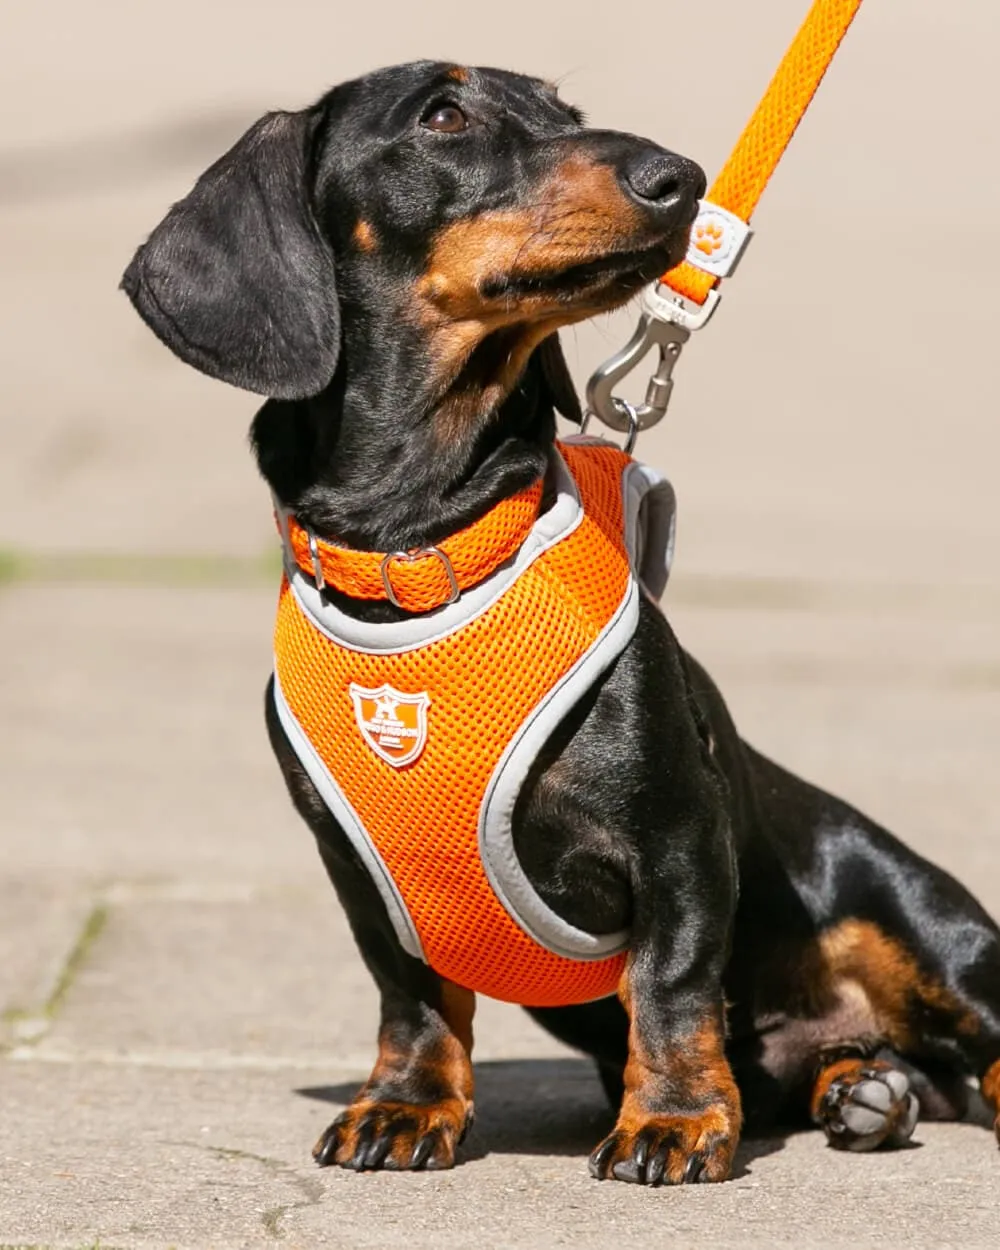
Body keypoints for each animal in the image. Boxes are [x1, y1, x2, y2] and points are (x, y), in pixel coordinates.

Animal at [123, 63, 1000, 1185]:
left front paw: (673, 1120)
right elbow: (410, 995)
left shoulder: (676, 835)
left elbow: (670, 983)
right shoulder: (357, 872)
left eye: (566, 112)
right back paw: (858, 1088)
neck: (423, 555)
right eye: (443, 116)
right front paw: (405, 1104)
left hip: (916, 921)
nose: (682, 177)